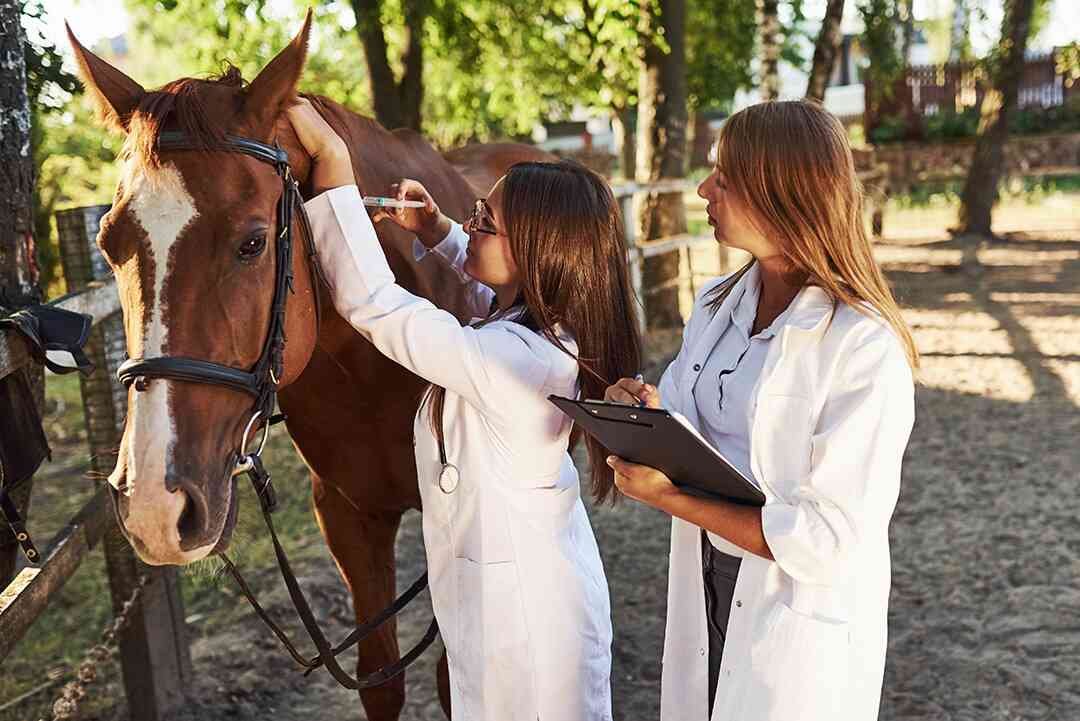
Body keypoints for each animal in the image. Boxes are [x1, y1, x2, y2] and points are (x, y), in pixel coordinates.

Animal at [66, 12, 552, 721]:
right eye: (108, 245)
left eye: (252, 243)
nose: (155, 504)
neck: (369, 368)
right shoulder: (347, 516)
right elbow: (380, 678)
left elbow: (452, 678)